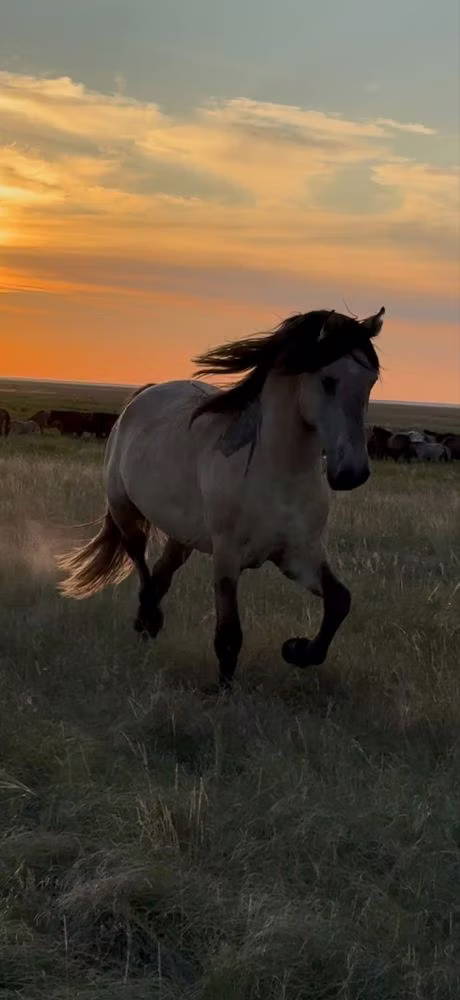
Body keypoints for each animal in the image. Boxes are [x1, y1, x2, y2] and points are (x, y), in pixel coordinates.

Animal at [57, 306, 385, 689]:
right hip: (125, 511)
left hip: (182, 535)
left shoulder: (299, 554)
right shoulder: (228, 557)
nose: (352, 473)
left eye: (370, 381)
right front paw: (224, 690)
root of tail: (144, 395)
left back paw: (147, 622)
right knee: (139, 559)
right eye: (328, 380)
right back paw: (149, 620)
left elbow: (339, 601)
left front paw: (297, 650)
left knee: (161, 573)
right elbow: (229, 635)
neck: (278, 474)